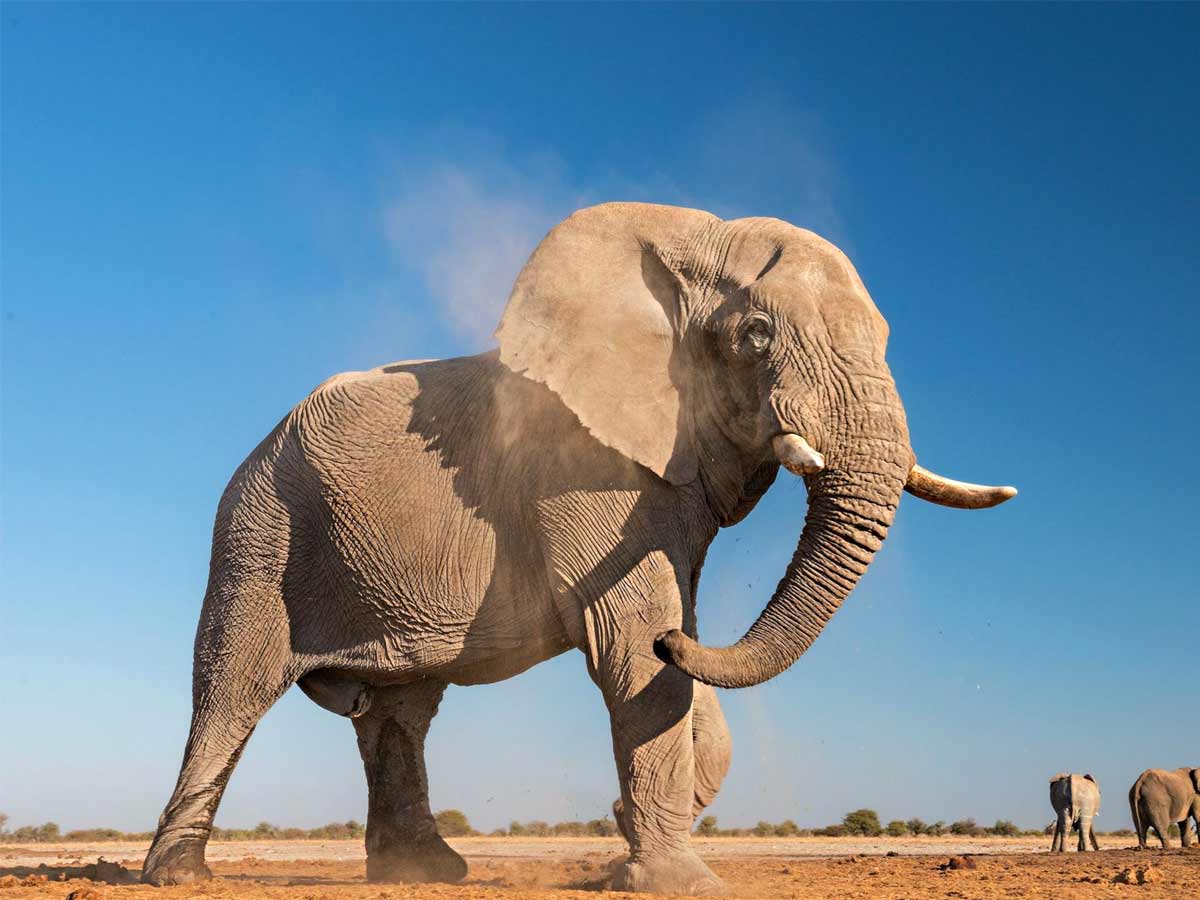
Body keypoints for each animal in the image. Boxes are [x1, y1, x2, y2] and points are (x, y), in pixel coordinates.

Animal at [141, 202, 1017, 895]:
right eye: (755, 335)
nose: (612, 818)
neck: (690, 238)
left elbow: (676, 650)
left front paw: (629, 841)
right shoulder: (580, 466)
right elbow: (631, 638)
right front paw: (678, 881)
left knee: (401, 710)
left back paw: (426, 873)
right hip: (259, 529)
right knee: (233, 688)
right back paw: (178, 875)